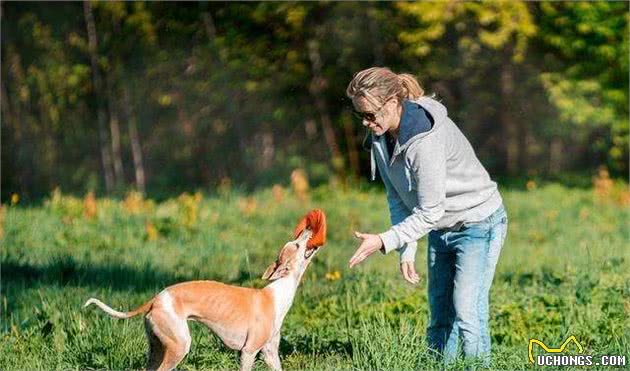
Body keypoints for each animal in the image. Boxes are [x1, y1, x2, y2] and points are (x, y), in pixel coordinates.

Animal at [84, 211, 328, 371]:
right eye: (296, 244)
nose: (309, 228)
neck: (277, 292)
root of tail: (156, 299)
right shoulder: (248, 352)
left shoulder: (270, 353)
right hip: (178, 346)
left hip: (157, 348)